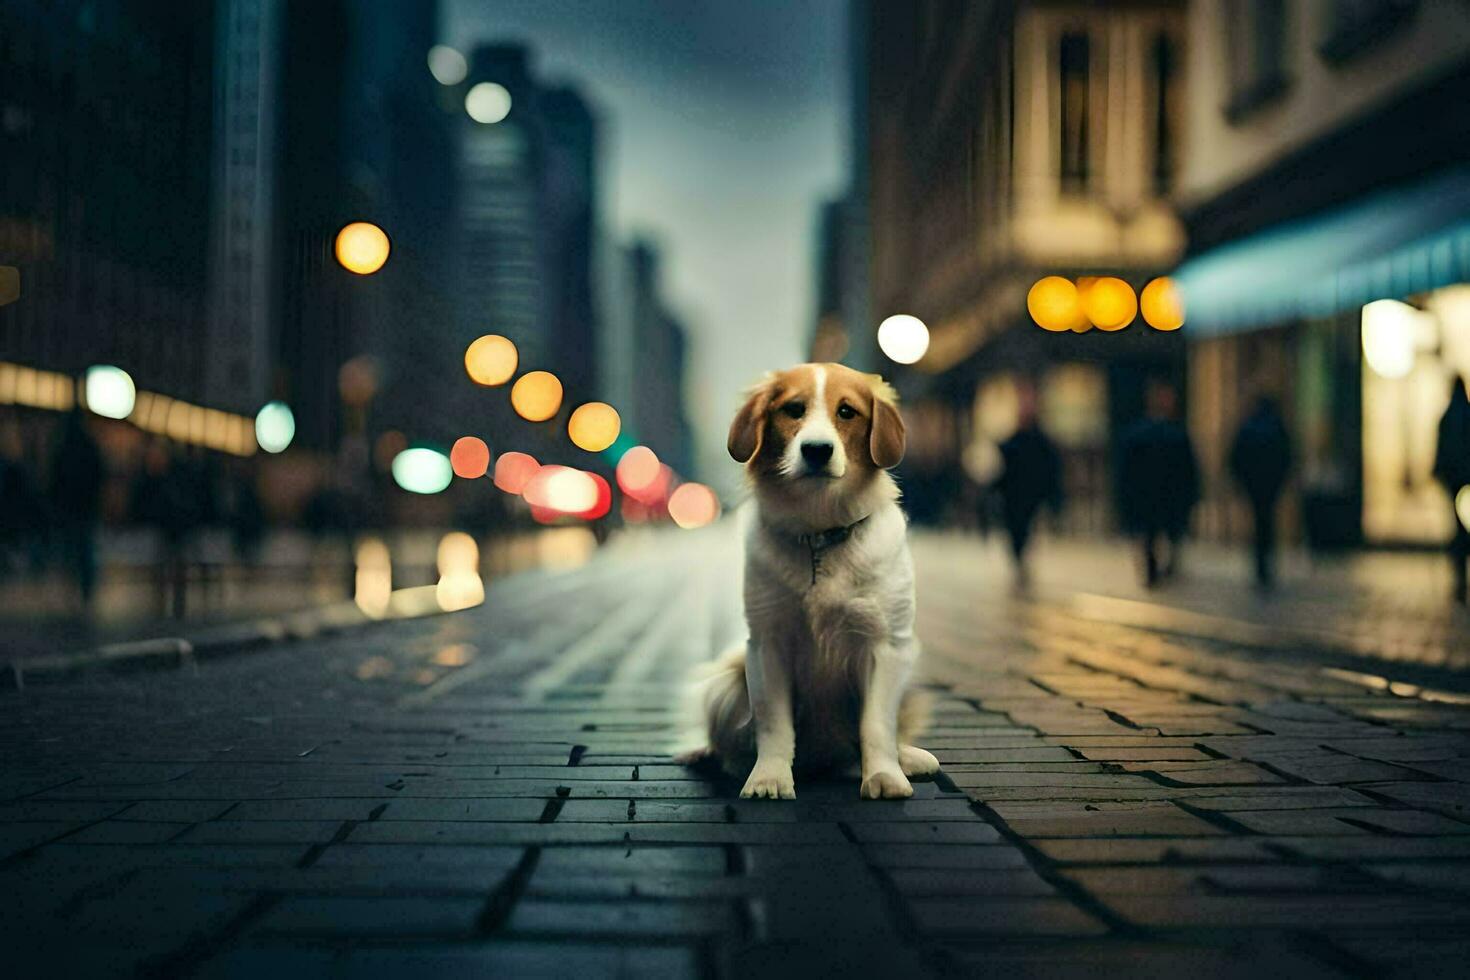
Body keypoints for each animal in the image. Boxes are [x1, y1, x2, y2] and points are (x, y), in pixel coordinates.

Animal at [679, 364, 934, 799]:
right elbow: (773, 723)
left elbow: (877, 725)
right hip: (723, 684)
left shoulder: (887, 644)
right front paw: (769, 778)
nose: (816, 450)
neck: (819, 534)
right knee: (727, 741)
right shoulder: (767, 642)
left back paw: (909, 759)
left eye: (847, 411)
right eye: (793, 409)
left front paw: (884, 776)